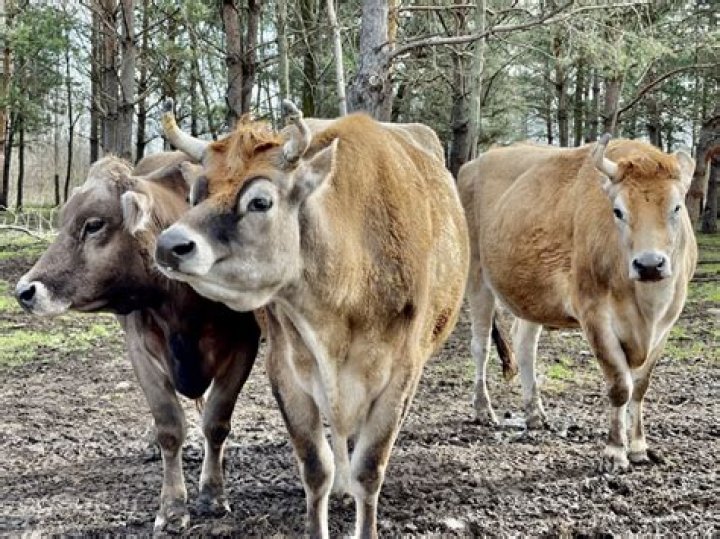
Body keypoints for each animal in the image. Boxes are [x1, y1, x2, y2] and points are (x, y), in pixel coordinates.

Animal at [14, 153, 261, 532]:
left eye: (94, 224)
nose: (24, 291)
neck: (182, 307)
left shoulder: (244, 346)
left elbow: (216, 423)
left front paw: (213, 494)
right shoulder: (141, 351)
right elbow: (169, 427)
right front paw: (172, 507)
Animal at [153, 101, 469, 538]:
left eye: (260, 201)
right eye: (196, 193)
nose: (169, 245)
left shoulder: (401, 373)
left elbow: (370, 467)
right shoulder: (286, 370)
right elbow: (316, 467)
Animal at [458, 134, 697, 472]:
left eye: (676, 207)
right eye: (618, 211)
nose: (649, 265)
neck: (646, 305)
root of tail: (473, 164)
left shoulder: (667, 323)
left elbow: (639, 387)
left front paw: (639, 447)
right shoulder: (594, 316)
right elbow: (620, 386)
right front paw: (614, 452)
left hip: (531, 292)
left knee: (525, 345)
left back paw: (535, 414)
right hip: (477, 277)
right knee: (480, 346)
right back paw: (483, 410)